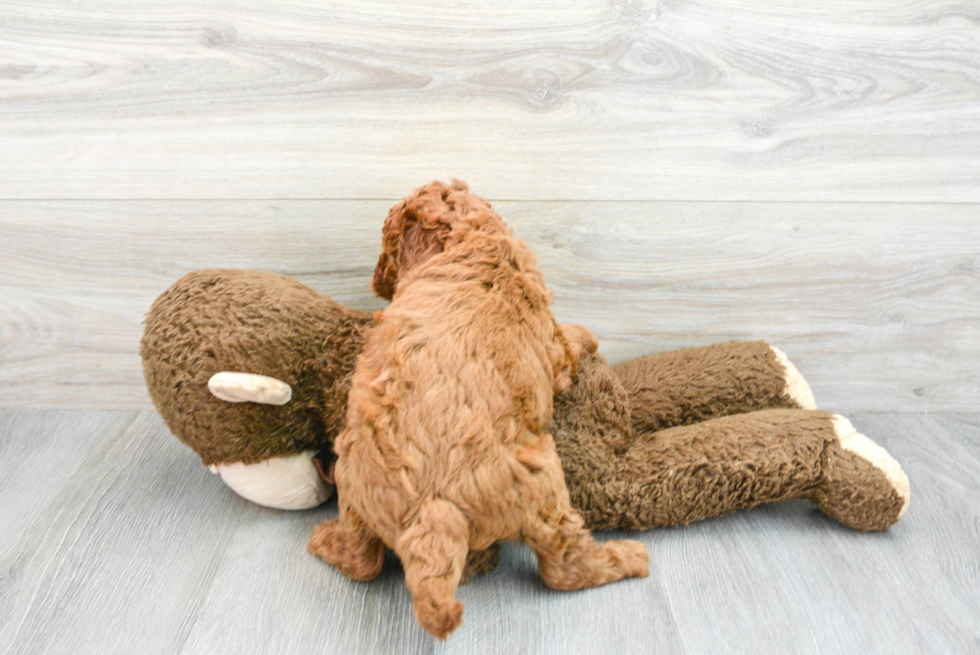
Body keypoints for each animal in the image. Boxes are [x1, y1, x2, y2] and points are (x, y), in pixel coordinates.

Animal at [310, 179, 648, 640]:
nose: (377, 280)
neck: (470, 238)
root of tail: (430, 513)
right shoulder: (553, 346)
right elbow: (569, 344)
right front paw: (588, 335)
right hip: (543, 481)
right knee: (565, 568)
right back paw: (627, 558)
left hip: (352, 484)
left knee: (362, 560)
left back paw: (324, 542)